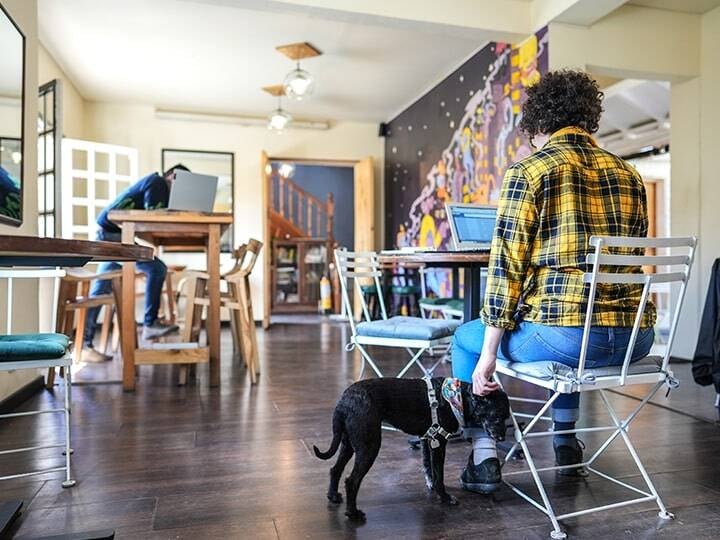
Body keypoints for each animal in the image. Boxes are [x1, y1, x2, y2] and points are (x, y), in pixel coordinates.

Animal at [312, 378, 510, 520]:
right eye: (496, 416)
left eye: (506, 417)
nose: (502, 438)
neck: (457, 398)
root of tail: (343, 402)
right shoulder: (439, 443)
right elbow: (439, 475)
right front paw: (445, 497)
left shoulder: (427, 440)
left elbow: (429, 468)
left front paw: (432, 488)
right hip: (369, 446)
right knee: (352, 481)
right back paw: (352, 514)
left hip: (348, 443)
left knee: (335, 469)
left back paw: (333, 496)